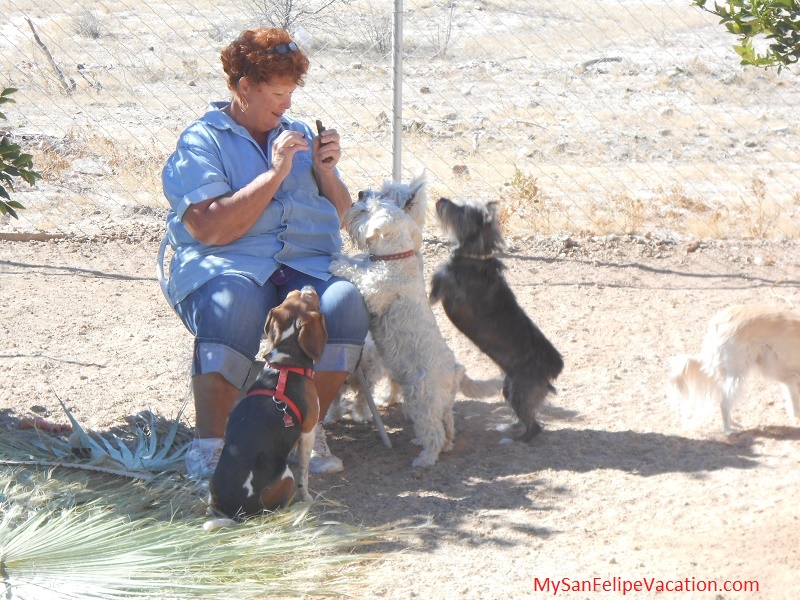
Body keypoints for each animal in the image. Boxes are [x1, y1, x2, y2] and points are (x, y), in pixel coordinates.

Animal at [332, 171, 500, 466]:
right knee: (448, 427)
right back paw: (431, 444)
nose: (360, 194)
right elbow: (360, 264)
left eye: (369, 208)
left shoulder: (374, 294)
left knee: (434, 431)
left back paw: (424, 458)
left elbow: (357, 273)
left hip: (422, 400)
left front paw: (337, 261)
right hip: (437, 403)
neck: (395, 259)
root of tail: (456, 371)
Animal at [432, 197, 564, 440]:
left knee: (534, 427)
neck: (475, 256)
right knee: (527, 419)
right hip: (509, 387)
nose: (441, 200)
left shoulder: (439, 292)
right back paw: (509, 426)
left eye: (462, 210)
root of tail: (553, 370)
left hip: (519, 391)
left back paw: (513, 438)